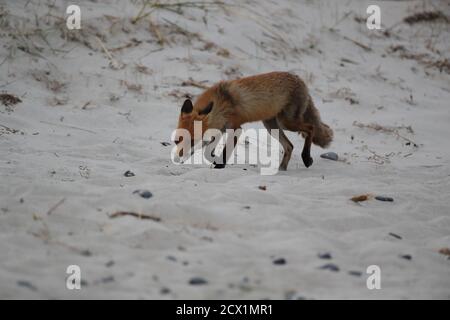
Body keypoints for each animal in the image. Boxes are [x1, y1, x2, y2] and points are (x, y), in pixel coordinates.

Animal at [174, 70, 332, 170]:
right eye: (176, 140)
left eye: (192, 140)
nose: (177, 157)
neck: (221, 104)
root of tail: (299, 79)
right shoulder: (219, 130)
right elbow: (207, 152)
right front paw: (213, 158)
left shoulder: (235, 128)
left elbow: (224, 152)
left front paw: (220, 165)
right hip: (272, 126)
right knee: (289, 146)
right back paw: (282, 169)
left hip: (287, 122)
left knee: (311, 128)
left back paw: (306, 158)